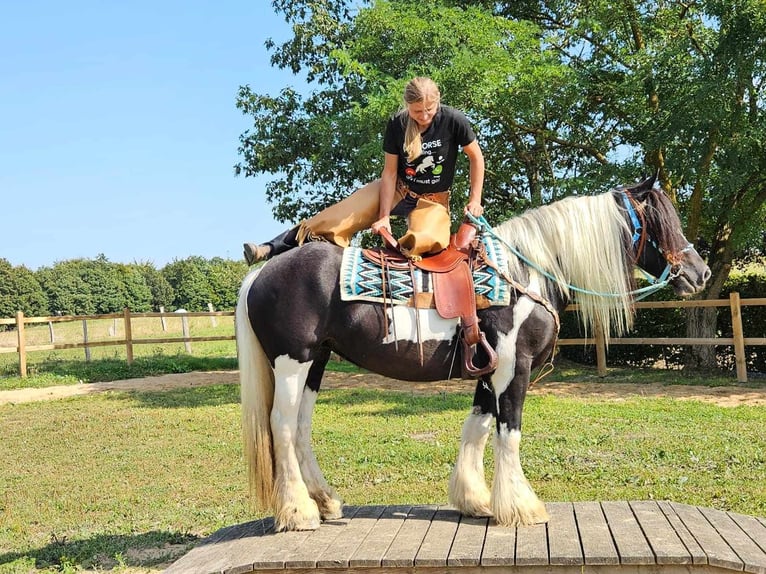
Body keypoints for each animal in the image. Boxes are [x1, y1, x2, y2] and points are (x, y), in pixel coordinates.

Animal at [237, 173, 712, 532]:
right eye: (660, 220)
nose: (701, 273)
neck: (526, 273)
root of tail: (262, 274)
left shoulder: (488, 370)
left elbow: (478, 428)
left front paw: (475, 500)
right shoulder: (513, 368)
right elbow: (508, 431)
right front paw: (521, 507)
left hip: (316, 361)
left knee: (300, 428)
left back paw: (325, 501)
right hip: (293, 361)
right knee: (282, 426)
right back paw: (300, 512)